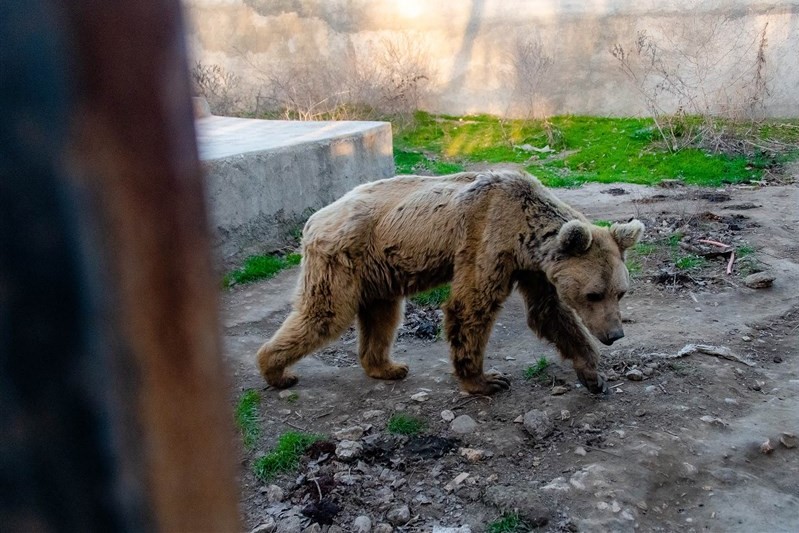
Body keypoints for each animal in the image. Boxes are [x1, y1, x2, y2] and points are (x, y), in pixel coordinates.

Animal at [256, 170, 644, 394]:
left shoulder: (535, 268)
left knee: (383, 316)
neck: (526, 232)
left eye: (621, 292)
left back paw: (387, 367)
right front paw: (486, 380)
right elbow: (472, 304)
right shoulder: (488, 237)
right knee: (324, 313)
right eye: (594, 294)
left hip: (379, 270)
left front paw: (593, 375)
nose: (615, 334)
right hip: (343, 256)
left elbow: (549, 313)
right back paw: (275, 370)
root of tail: (314, 218)